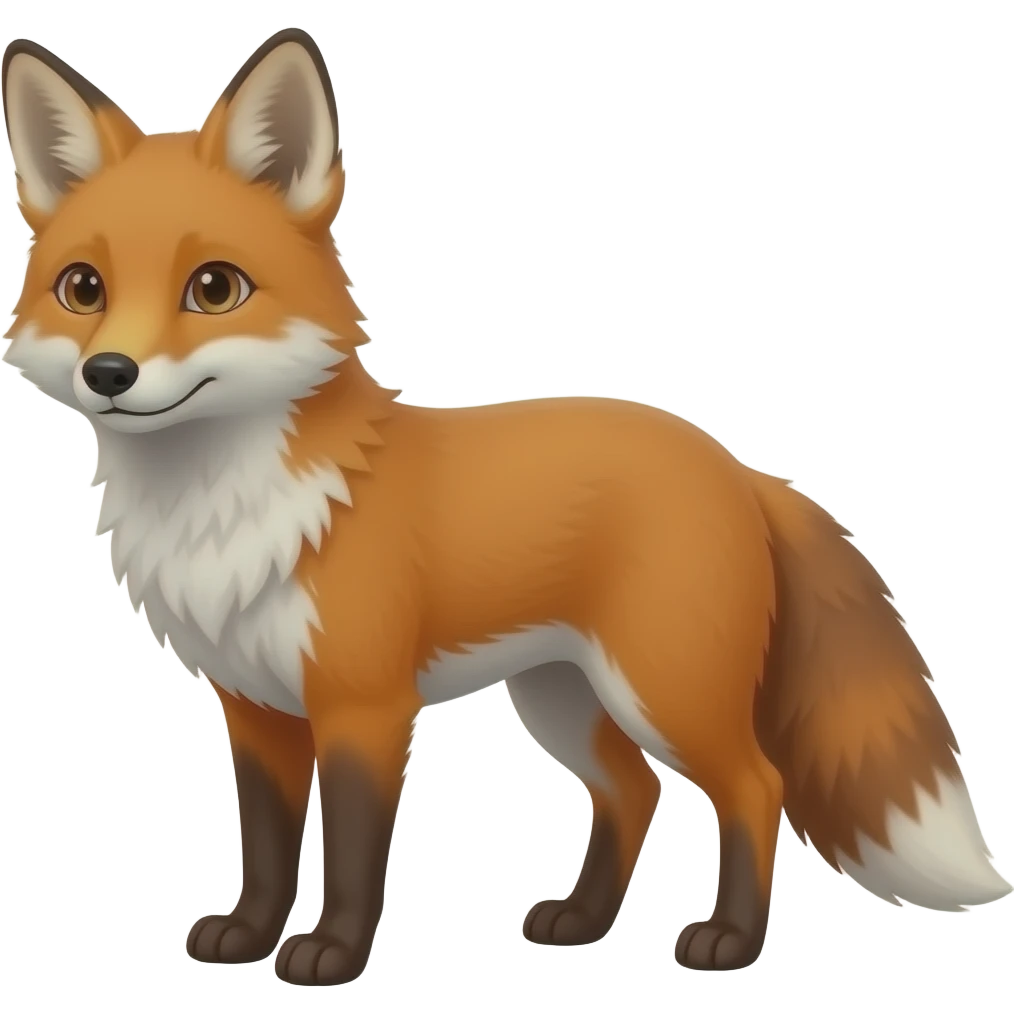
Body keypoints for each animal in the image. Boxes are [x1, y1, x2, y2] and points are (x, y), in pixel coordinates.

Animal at [2, 27, 1010, 986]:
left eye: (213, 287)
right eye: (83, 290)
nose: (110, 373)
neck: (228, 507)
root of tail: (733, 463)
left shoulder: (365, 707)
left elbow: (355, 856)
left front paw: (332, 956)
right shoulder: (255, 709)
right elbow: (267, 849)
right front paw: (248, 936)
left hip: (665, 690)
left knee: (757, 788)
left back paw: (728, 940)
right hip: (564, 699)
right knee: (634, 792)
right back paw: (582, 922)